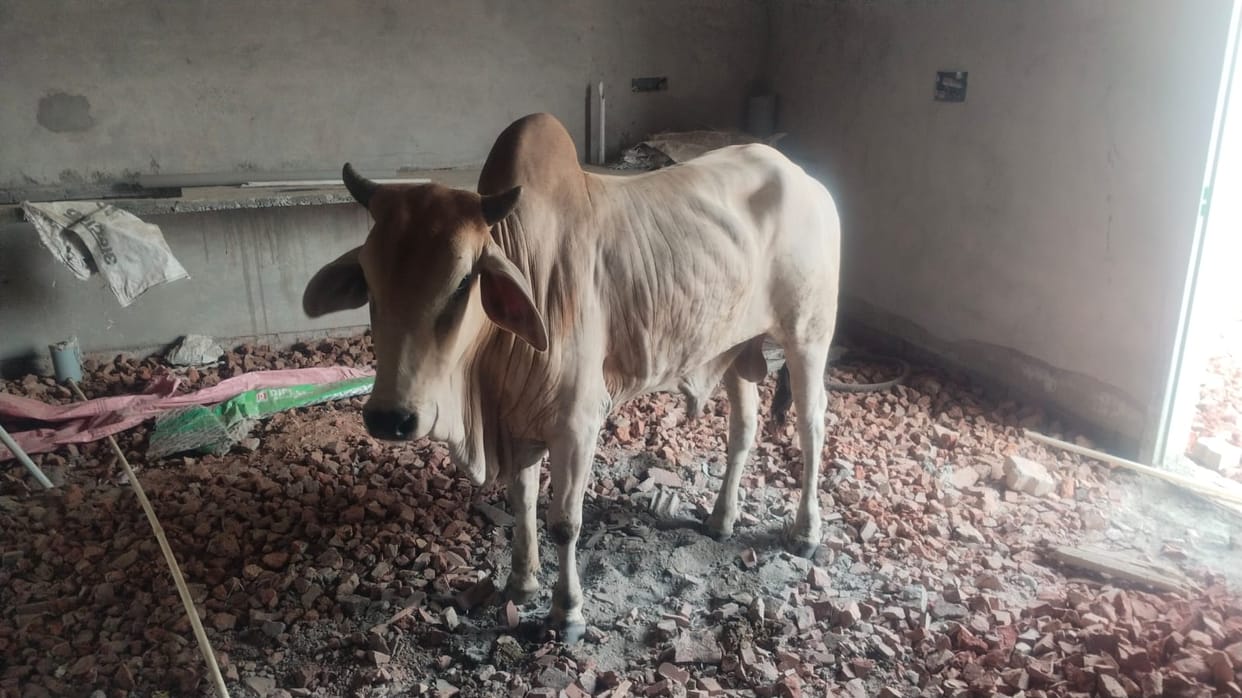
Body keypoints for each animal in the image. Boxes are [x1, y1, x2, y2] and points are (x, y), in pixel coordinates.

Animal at [302, 113, 840, 640]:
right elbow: (521, 501)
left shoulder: (577, 423)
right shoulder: (520, 420)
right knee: (743, 429)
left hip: (808, 337)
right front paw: (520, 583)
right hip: (734, 349)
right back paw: (721, 519)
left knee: (812, 426)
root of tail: (806, 179)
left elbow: (564, 521)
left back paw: (806, 532)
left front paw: (567, 612)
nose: (389, 418)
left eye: (462, 283)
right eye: (369, 283)